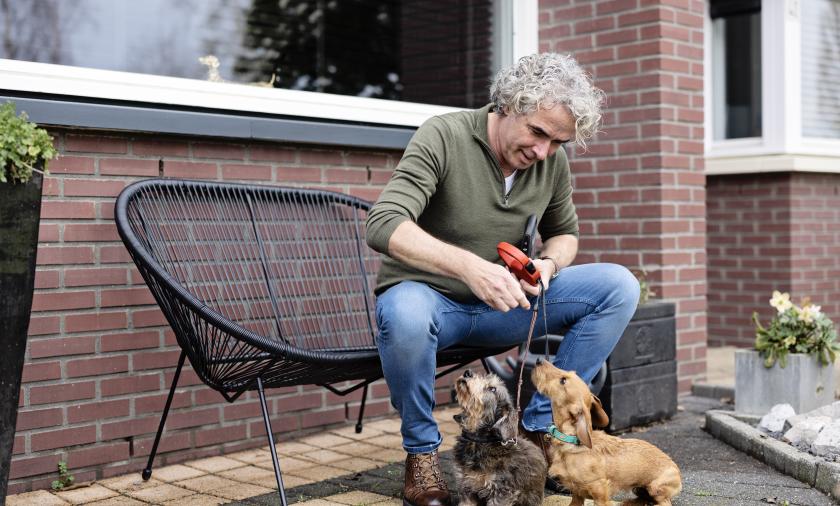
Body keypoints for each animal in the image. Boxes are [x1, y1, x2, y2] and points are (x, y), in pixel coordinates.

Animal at [532, 360, 684, 506]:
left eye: (563, 380)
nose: (538, 360)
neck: (570, 440)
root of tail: (677, 471)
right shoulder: (576, 493)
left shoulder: (600, 492)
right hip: (638, 488)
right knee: (644, 497)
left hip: (655, 487)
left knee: (664, 502)